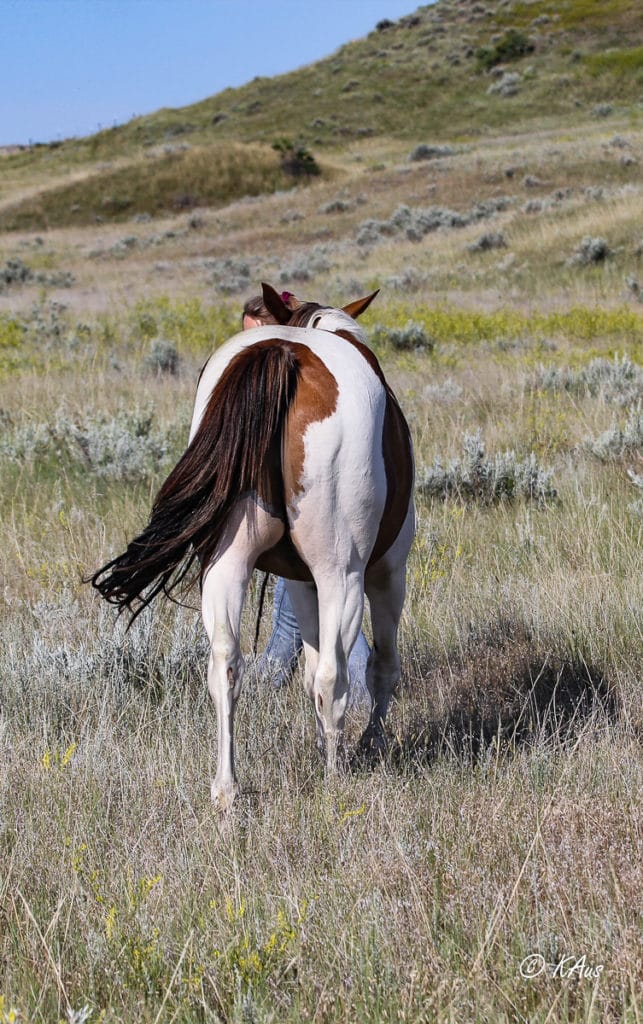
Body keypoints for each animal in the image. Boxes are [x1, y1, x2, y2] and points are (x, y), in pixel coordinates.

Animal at [90, 282, 413, 806]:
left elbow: (305, 669)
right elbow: (380, 667)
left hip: (226, 566)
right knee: (335, 678)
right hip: (340, 574)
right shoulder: (385, 573)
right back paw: (334, 781)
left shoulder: (299, 584)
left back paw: (227, 789)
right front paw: (371, 744)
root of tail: (285, 352)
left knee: (225, 665)